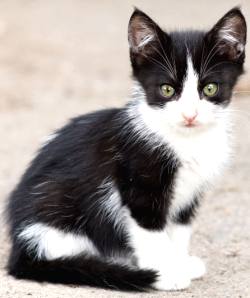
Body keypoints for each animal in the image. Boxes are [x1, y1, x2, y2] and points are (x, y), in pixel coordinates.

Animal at [5, 8, 246, 292]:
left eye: (210, 88)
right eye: (167, 89)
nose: (190, 115)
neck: (186, 141)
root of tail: (20, 246)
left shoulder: (190, 195)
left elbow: (178, 229)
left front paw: (179, 262)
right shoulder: (138, 182)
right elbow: (151, 232)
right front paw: (165, 273)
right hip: (56, 205)